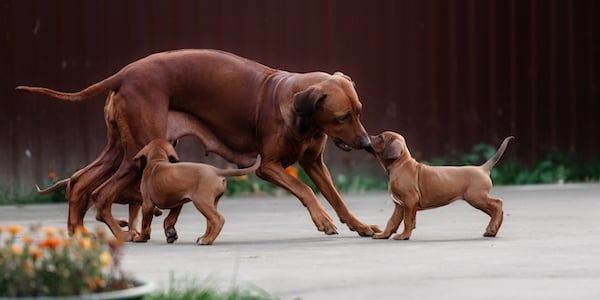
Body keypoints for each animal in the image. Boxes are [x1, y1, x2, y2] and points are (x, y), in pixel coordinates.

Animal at [17, 49, 380, 241]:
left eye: (359, 112)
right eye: (342, 117)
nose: (367, 143)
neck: (297, 110)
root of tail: (124, 73)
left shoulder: (314, 163)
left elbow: (337, 198)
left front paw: (360, 225)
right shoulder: (268, 167)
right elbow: (305, 191)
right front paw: (322, 220)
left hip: (121, 148)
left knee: (79, 182)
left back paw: (78, 233)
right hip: (138, 153)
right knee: (101, 193)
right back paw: (122, 237)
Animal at [368, 132, 512, 240]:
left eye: (380, 137)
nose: (368, 136)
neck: (400, 165)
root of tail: (482, 168)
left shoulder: (409, 201)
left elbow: (407, 221)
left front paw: (404, 236)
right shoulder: (399, 205)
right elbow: (392, 221)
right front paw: (383, 235)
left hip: (477, 197)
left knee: (498, 204)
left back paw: (492, 228)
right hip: (478, 199)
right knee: (495, 210)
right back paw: (492, 230)